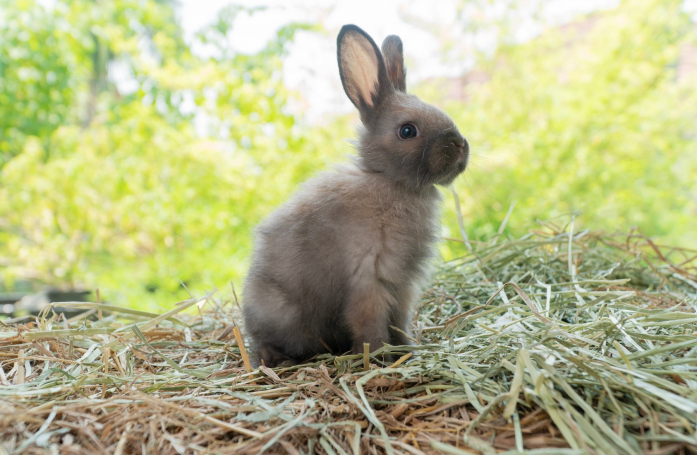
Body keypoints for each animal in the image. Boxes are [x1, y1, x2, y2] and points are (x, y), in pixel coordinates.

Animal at [242, 24, 469, 367]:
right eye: (407, 131)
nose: (459, 145)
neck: (390, 181)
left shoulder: (401, 287)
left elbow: (399, 323)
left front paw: (407, 351)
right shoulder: (368, 280)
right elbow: (370, 326)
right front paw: (377, 359)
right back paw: (273, 358)